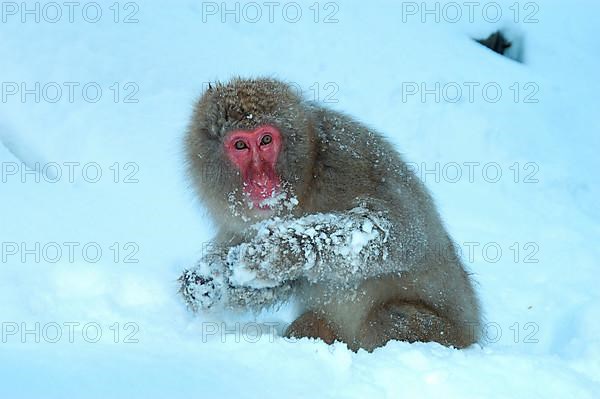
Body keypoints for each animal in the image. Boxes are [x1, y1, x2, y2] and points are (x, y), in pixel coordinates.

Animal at [179, 76, 482, 352]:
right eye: (240, 145)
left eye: (265, 140)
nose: (262, 182)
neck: (304, 183)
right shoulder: (244, 225)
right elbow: (277, 283)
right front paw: (207, 283)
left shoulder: (347, 158)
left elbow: (399, 233)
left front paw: (277, 251)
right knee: (312, 324)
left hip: (447, 334)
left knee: (383, 320)